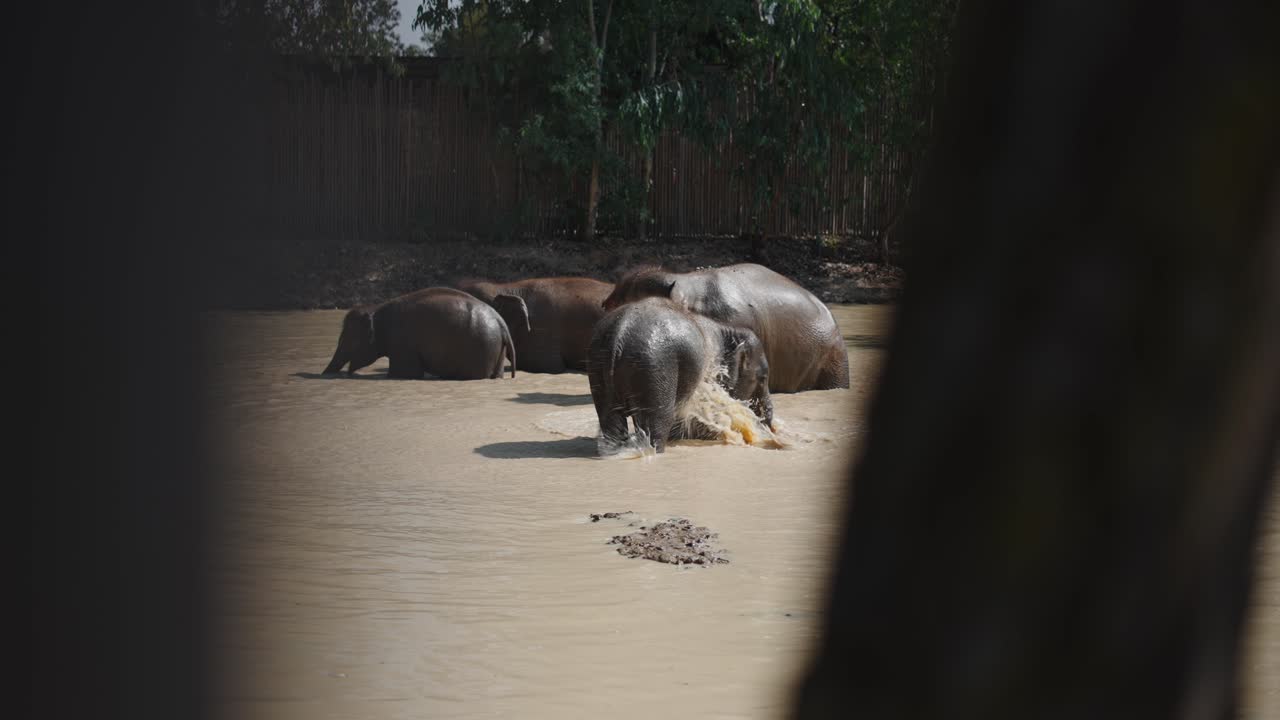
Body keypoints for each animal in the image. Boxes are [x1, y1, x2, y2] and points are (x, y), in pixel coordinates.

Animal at [322, 287, 516, 379]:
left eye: (349, 340)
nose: (324, 375)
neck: (376, 309)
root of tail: (501, 322)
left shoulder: (402, 344)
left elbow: (406, 373)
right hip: (496, 349)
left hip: (481, 349)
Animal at [587, 297, 773, 453]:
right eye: (763, 379)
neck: (727, 329)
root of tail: (619, 333)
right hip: (655, 367)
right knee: (657, 421)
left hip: (599, 363)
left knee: (610, 418)